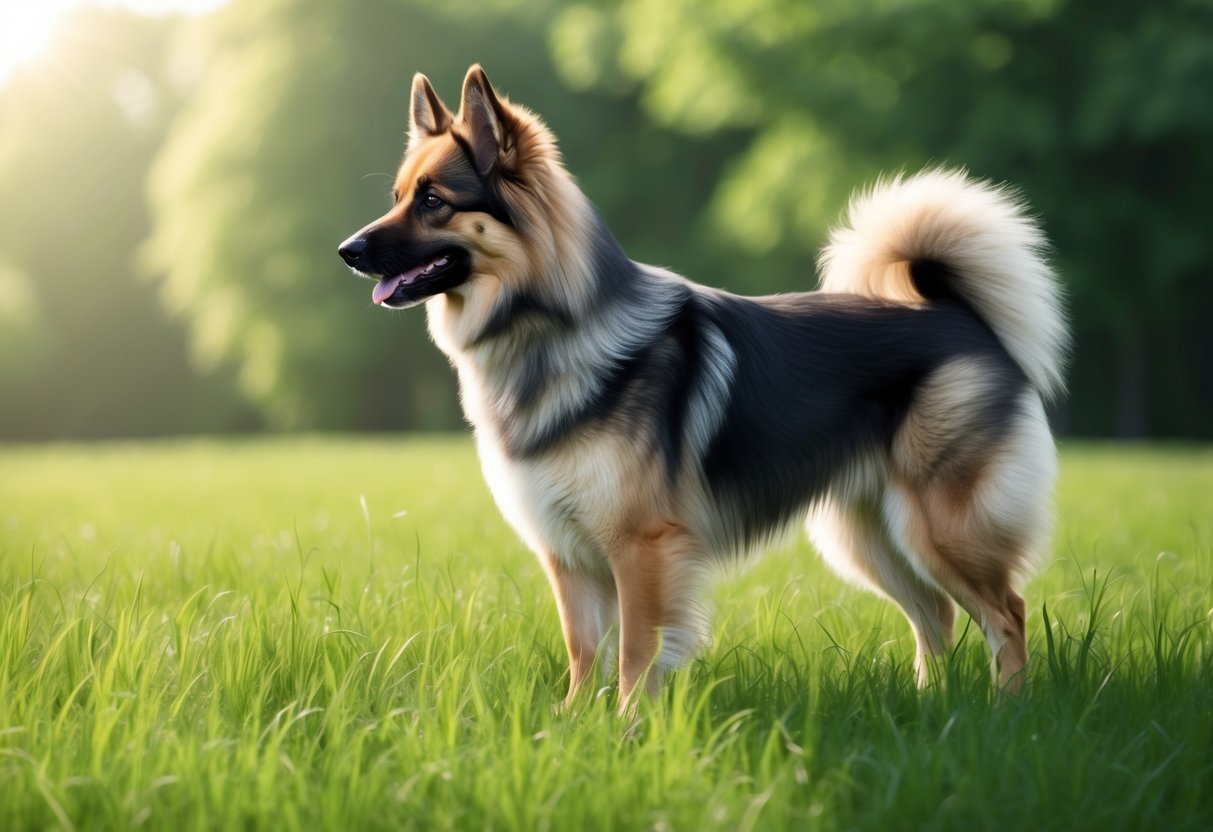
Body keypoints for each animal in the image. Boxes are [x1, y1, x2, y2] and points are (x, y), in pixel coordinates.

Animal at [337, 65, 1067, 708]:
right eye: (397, 197)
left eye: (434, 201)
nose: (347, 250)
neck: (546, 328)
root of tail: (954, 314)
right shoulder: (568, 554)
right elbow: (583, 652)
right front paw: (572, 725)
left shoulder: (641, 548)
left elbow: (635, 652)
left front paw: (627, 729)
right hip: (868, 536)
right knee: (935, 616)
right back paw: (931, 707)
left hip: (937, 528)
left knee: (1007, 612)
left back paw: (1008, 712)